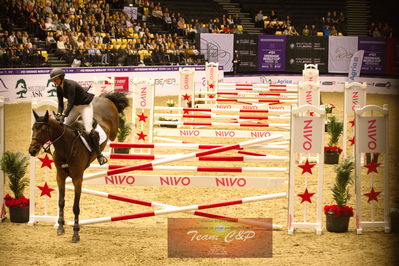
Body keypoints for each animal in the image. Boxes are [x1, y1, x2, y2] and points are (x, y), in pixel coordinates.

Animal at [28, 92, 129, 243]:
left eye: (43, 130)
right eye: (33, 129)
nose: (32, 151)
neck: (66, 146)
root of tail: (103, 98)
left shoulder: (77, 179)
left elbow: (75, 207)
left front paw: (75, 233)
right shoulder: (60, 176)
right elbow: (61, 202)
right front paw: (60, 227)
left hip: (113, 130)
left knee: (110, 134)